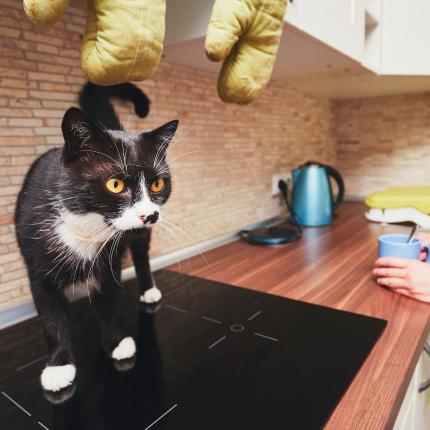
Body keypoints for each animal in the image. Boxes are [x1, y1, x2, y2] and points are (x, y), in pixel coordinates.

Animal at [14, 106, 177, 392]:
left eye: (158, 184)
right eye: (115, 185)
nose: (149, 215)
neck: (88, 229)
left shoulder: (111, 262)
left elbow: (109, 300)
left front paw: (116, 342)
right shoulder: (38, 266)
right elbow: (49, 315)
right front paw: (58, 366)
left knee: (141, 254)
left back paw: (148, 290)